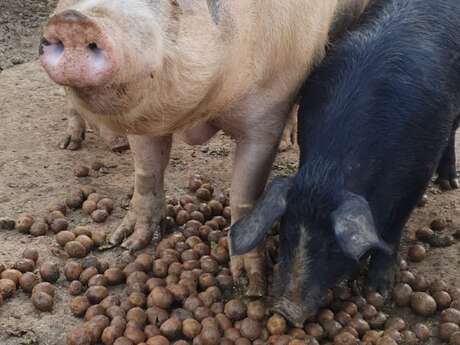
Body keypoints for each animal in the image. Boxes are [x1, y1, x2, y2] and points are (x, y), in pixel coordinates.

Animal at [229, 0, 460, 326]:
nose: (284, 311)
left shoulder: (417, 172)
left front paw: (378, 291)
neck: (329, 173)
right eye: (286, 231)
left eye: (331, 244)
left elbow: (392, 230)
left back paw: (449, 182)